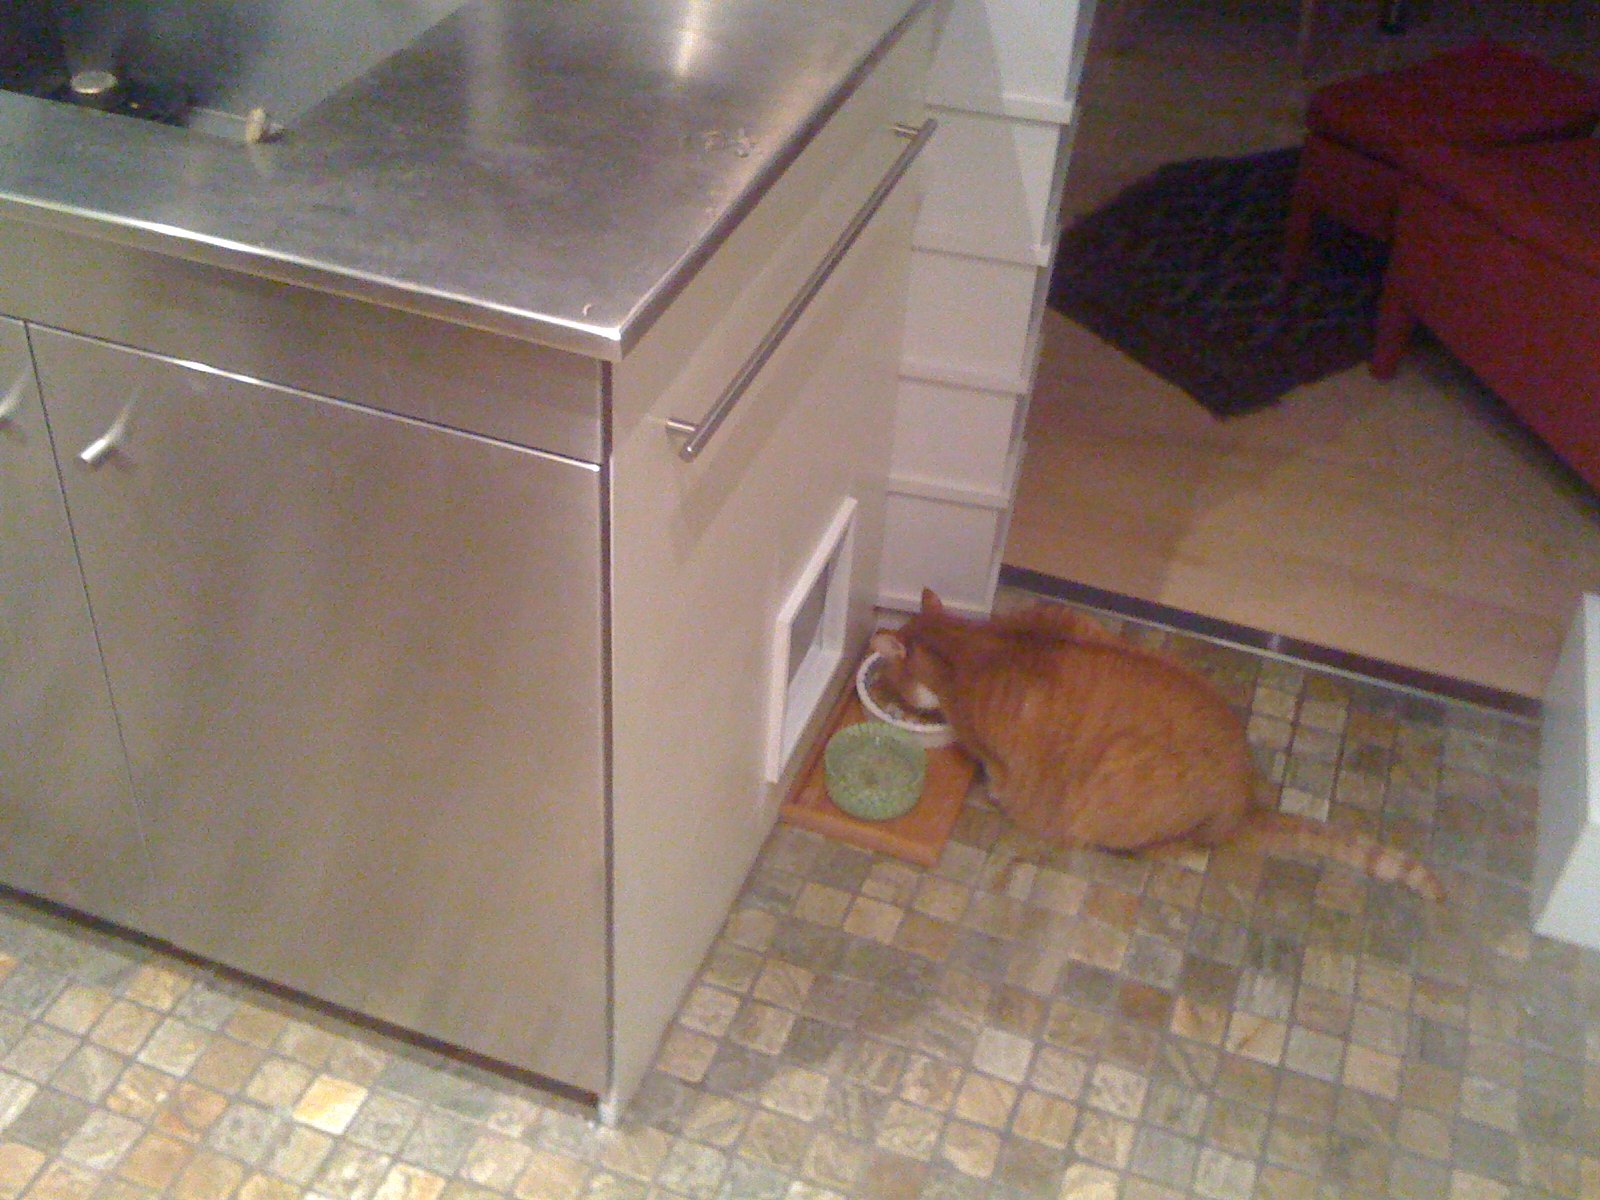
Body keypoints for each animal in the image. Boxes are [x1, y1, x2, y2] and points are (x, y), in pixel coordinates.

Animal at [870, 589, 1446, 903]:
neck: (973, 648)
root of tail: (1245, 803)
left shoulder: (1001, 755)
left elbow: (1001, 780)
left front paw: (993, 791)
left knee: (1169, 848)